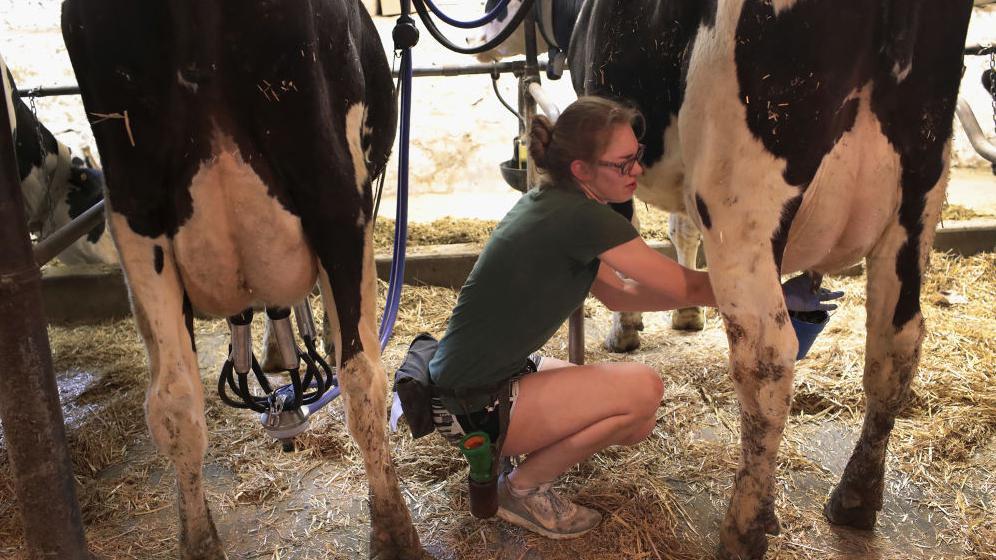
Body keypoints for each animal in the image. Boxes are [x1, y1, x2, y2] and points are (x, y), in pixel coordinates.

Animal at [486, 1, 976, 560]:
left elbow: (625, 233)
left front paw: (626, 329)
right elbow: (679, 229)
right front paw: (686, 314)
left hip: (740, 197)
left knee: (767, 358)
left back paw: (744, 527)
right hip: (919, 194)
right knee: (896, 344)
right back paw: (855, 497)